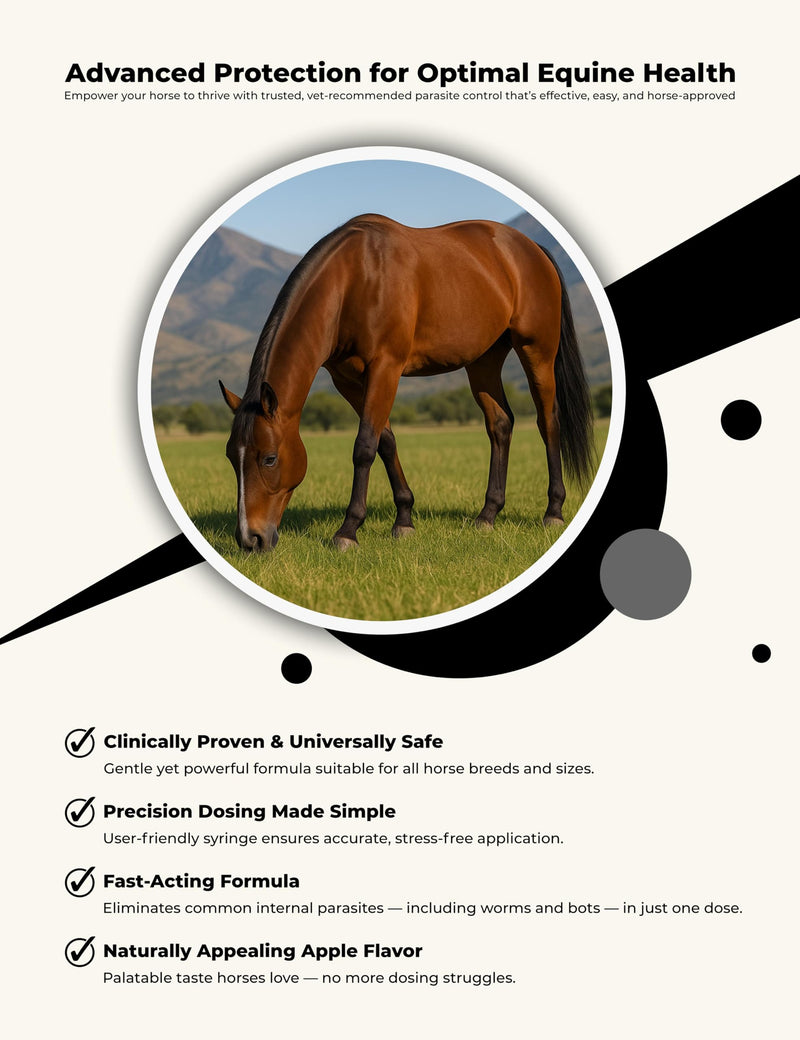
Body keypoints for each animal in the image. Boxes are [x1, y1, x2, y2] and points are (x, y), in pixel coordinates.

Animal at [219, 214, 594, 552]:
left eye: (269, 458)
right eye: (230, 457)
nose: (251, 539)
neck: (355, 280)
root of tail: (531, 249)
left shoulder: (386, 367)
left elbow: (364, 447)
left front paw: (348, 530)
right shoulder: (348, 380)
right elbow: (385, 441)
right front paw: (404, 520)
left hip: (537, 352)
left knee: (548, 422)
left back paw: (553, 511)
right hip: (483, 362)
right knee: (500, 424)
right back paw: (487, 515)